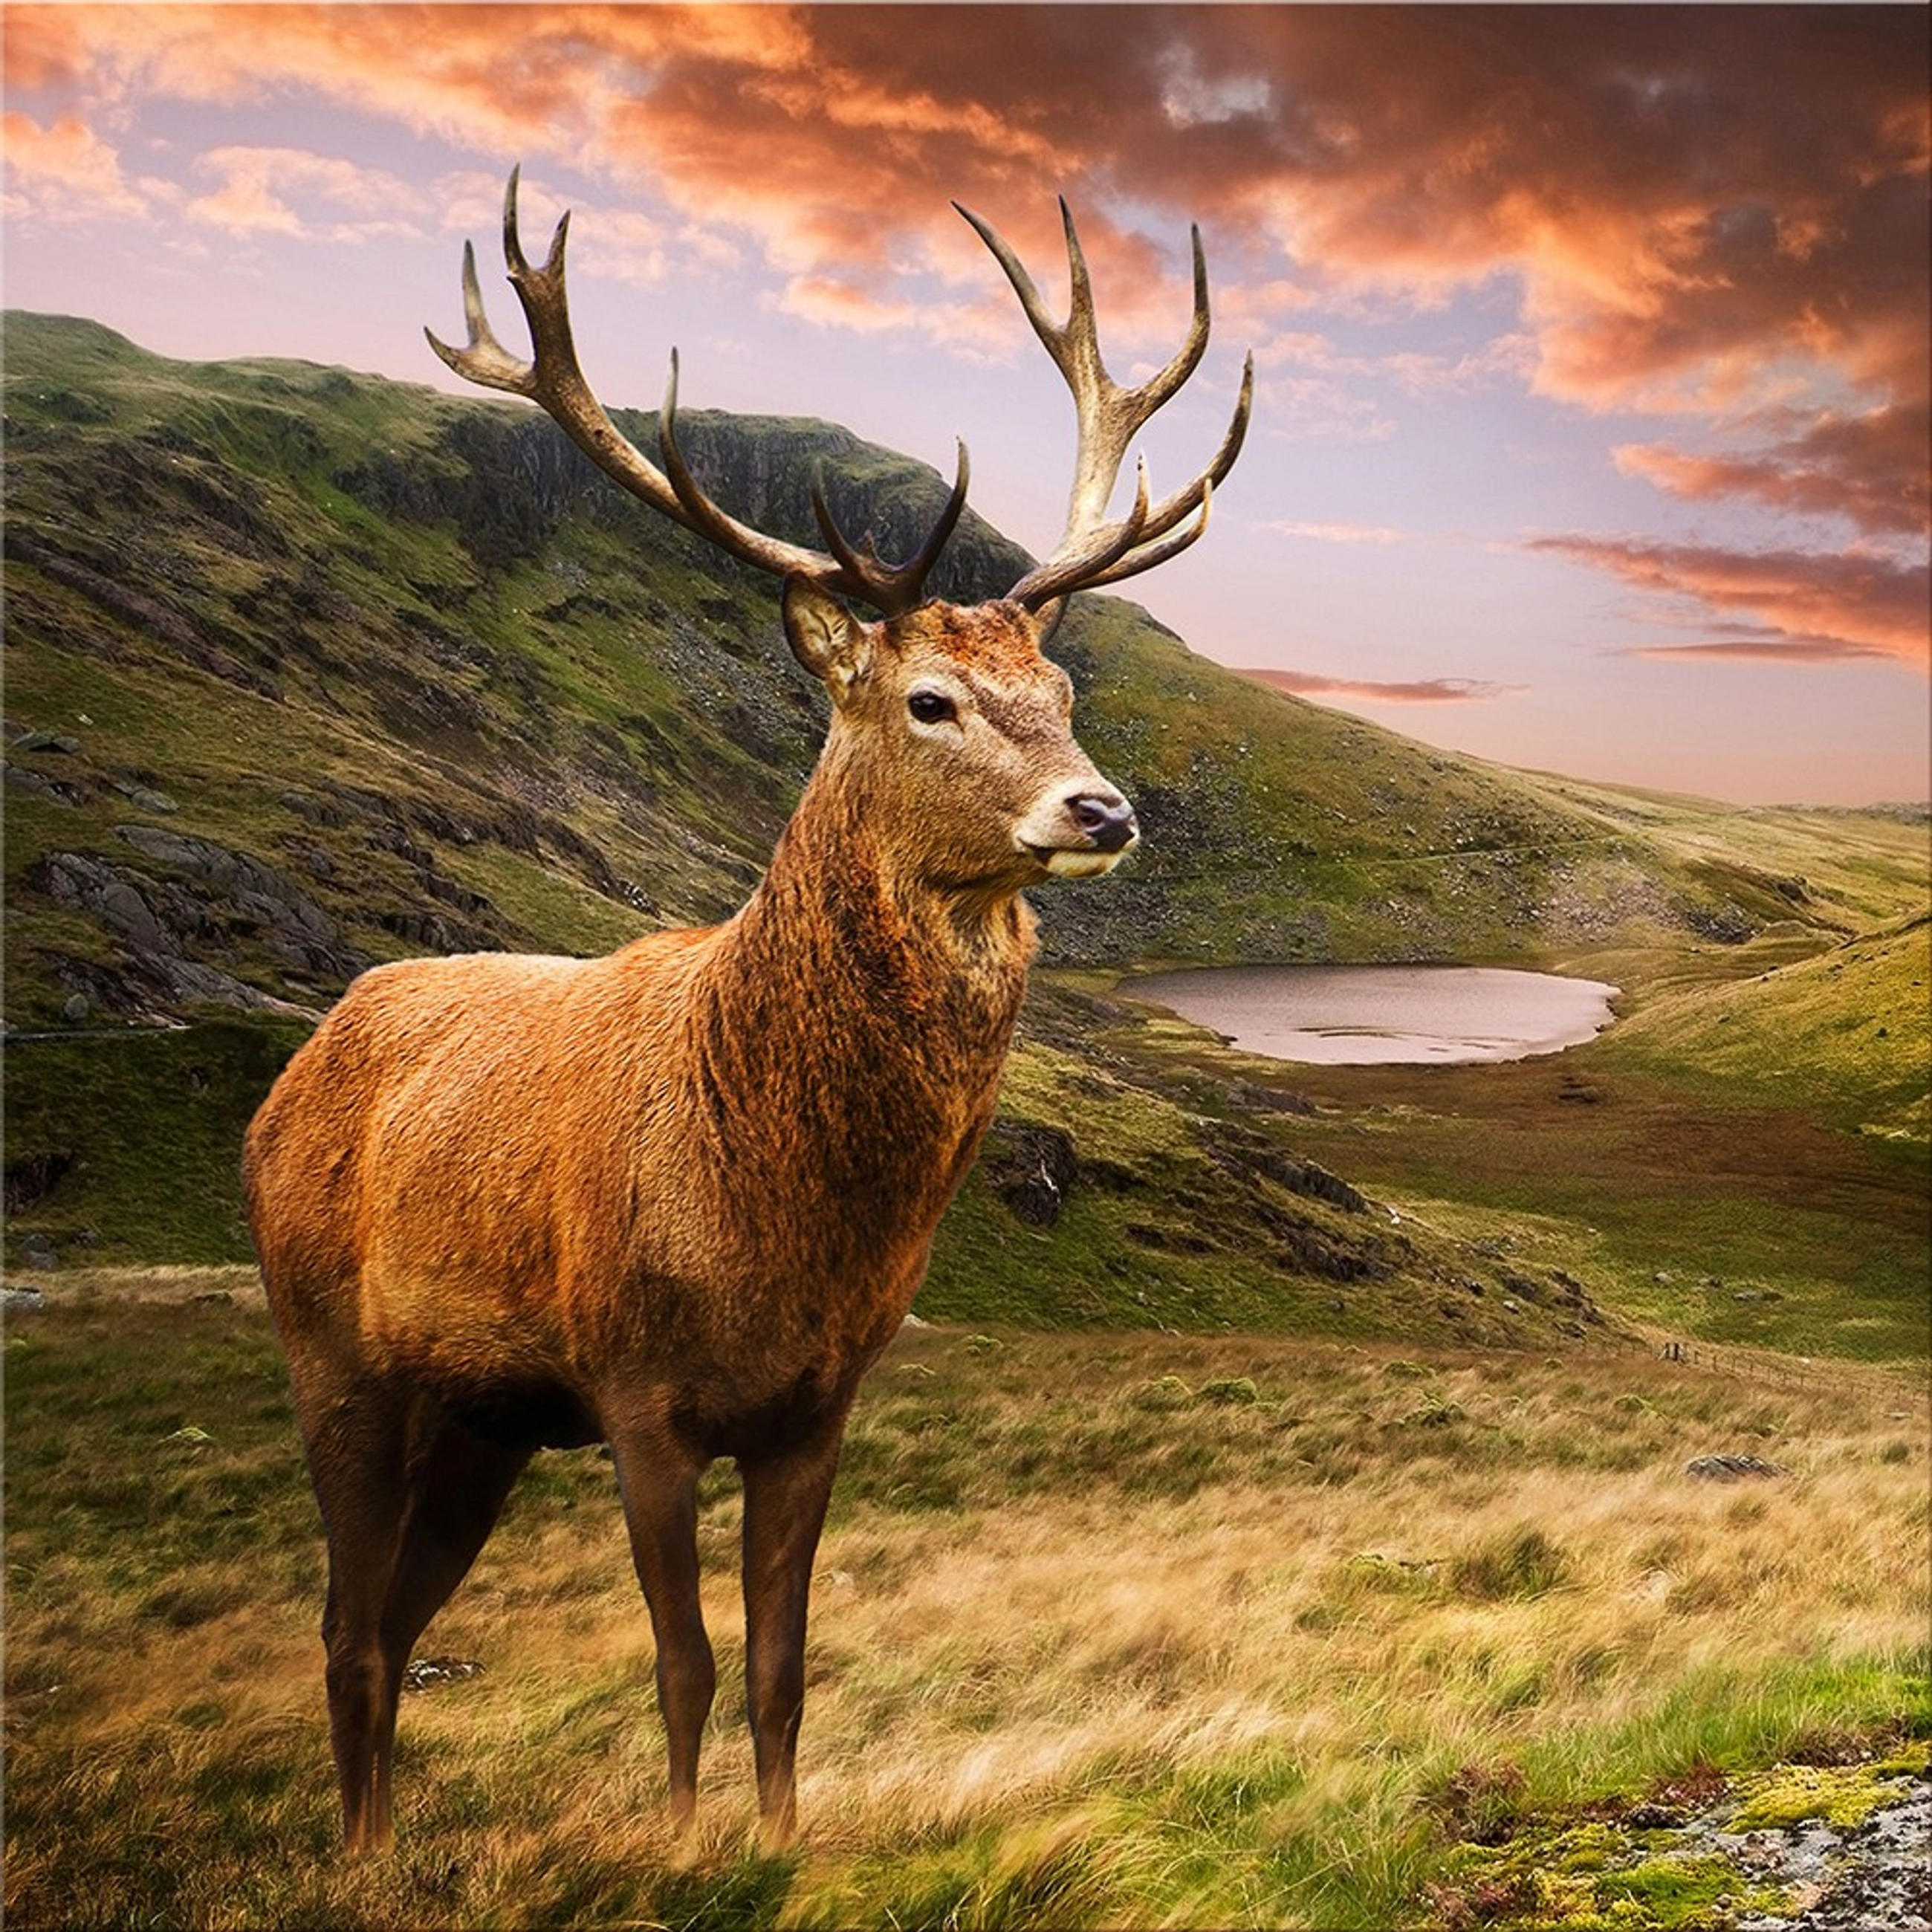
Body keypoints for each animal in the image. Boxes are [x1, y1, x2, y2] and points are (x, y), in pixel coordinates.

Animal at [244, 168, 1250, 1858]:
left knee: (388, 1619)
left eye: (1059, 688)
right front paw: (681, 1845)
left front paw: (781, 1844)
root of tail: (286, 1077)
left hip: (479, 1421)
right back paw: (358, 1859)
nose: (1104, 809)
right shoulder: (637, 1388)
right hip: (334, 1354)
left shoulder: (816, 1402)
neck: (772, 1215)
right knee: (340, 1627)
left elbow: (785, 1661)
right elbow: (686, 1663)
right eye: (928, 700)